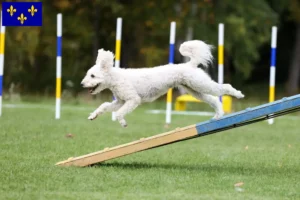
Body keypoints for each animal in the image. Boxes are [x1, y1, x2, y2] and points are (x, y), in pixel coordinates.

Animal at [81, 39, 245, 126]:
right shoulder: (121, 101)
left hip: (201, 84)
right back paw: (217, 116)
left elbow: (120, 112)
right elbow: (105, 106)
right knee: (214, 100)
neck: (116, 78)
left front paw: (122, 122)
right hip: (195, 90)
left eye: (93, 75)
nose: (82, 84)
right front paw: (93, 116)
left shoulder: (133, 100)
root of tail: (190, 64)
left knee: (224, 88)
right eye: (88, 74)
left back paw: (238, 94)